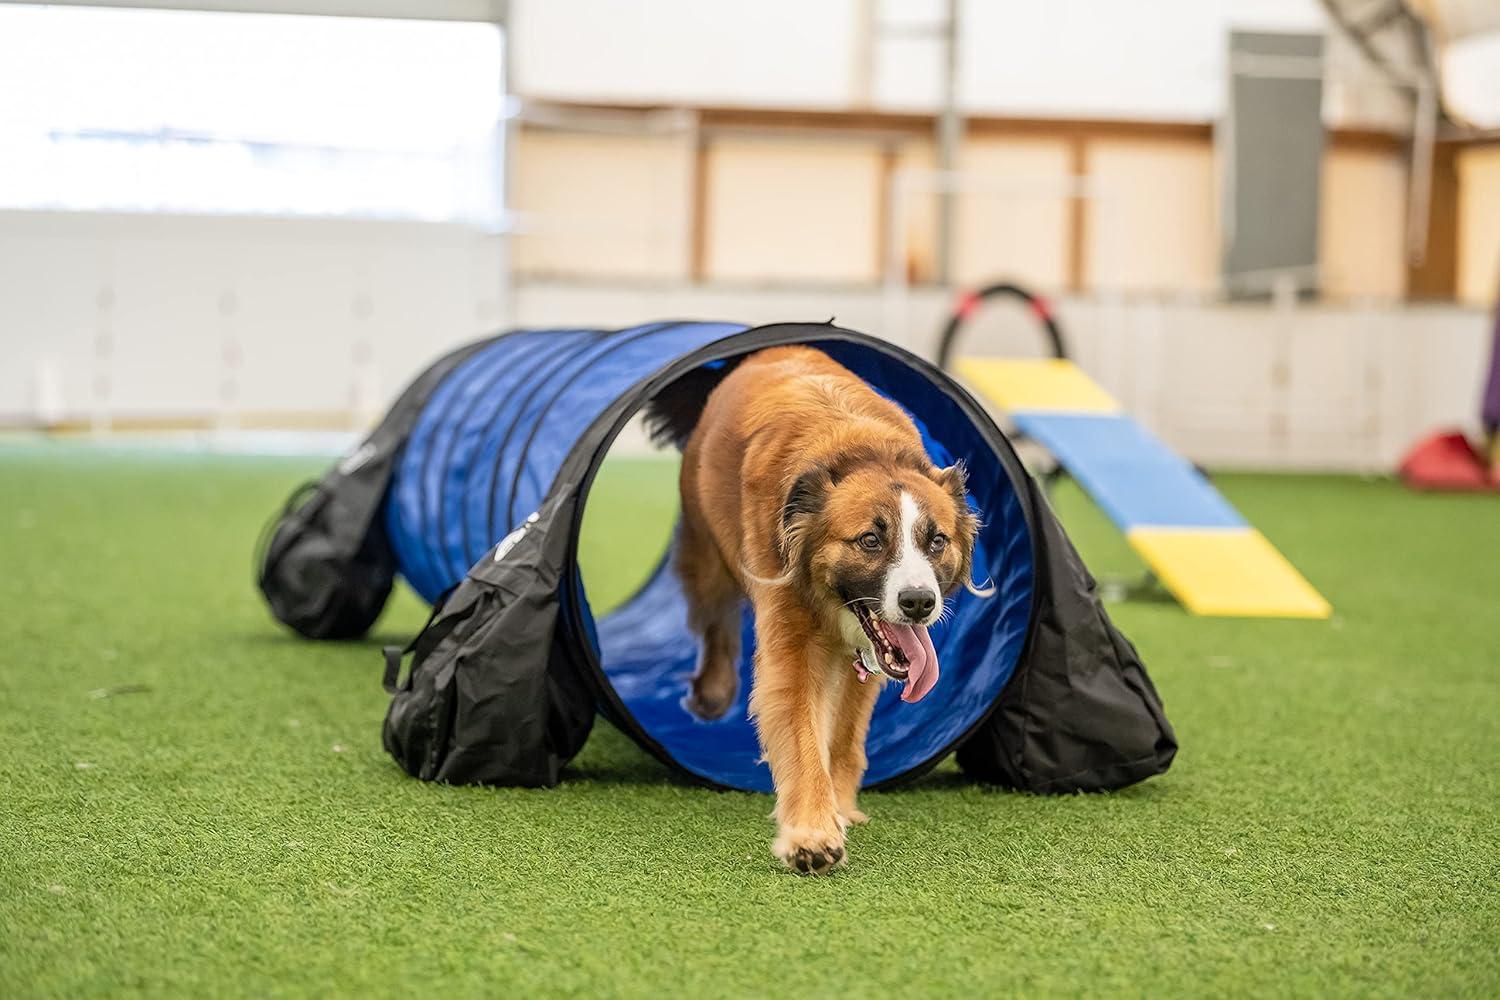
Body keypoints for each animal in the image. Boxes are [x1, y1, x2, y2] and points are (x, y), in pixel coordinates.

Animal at [645, 346, 984, 875]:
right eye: (870, 541)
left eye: (936, 540)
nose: (919, 603)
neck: (862, 451)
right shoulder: (793, 637)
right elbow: (802, 729)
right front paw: (812, 834)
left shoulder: (867, 662)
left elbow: (844, 736)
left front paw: (840, 809)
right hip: (707, 554)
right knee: (716, 623)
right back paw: (712, 695)